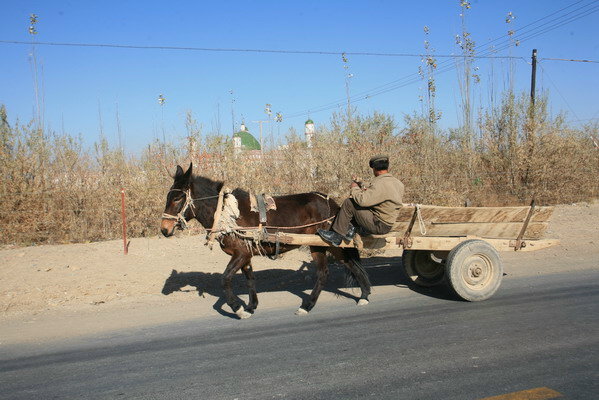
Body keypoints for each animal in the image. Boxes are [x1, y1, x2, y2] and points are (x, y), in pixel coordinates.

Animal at [161, 162, 370, 318]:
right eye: (169, 196)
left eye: (178, 198)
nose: (164, 229)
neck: (225, 212)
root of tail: (333, 204)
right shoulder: (246, 254)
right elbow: (250, 279)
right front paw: (251, 306)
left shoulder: (240, 254)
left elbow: (225, 279)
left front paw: (237, 308)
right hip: (325, 245)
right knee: (348, 265)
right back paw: (365, 294)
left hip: (323, 244)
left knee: (326, 272)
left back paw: (308, 305)